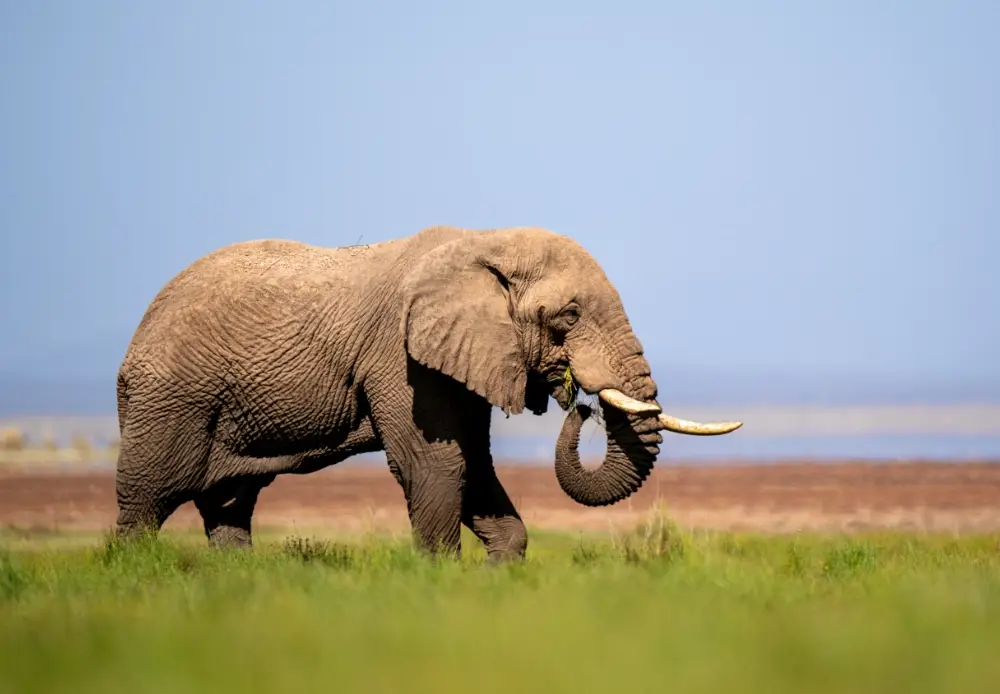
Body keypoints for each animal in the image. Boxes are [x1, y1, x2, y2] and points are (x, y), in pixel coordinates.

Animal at [113, 225, 742, 560]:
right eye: (568, 316)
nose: (579, 402)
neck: (486, 241)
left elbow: (475, 466)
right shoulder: (402, 359)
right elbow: (437, 463)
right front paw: (436, 583)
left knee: (230, 505)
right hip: (169, 398)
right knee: (148, 498)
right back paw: (136, 575)